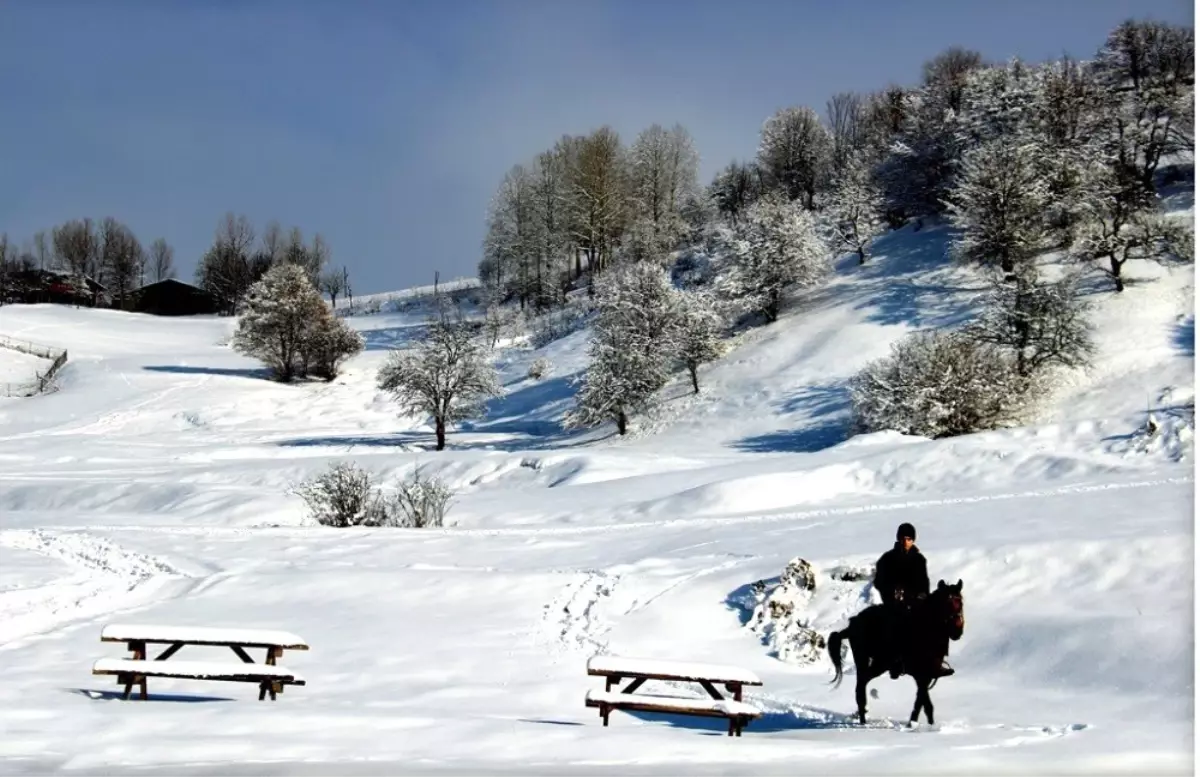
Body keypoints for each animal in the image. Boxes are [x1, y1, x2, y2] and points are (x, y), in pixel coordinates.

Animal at [825, 575, 964, 729]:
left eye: (960, 602)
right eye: (946, 603)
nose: (957, 631)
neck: (926, 631)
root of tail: (852, 625)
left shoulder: (926, 675)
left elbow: (923, 702)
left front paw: (923, 725)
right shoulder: (920, 675)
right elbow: (923, 702)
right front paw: (914, 725)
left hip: (878, 664)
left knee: (863, 683)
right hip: (865, 660)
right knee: (860, 687)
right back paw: (862, 721)